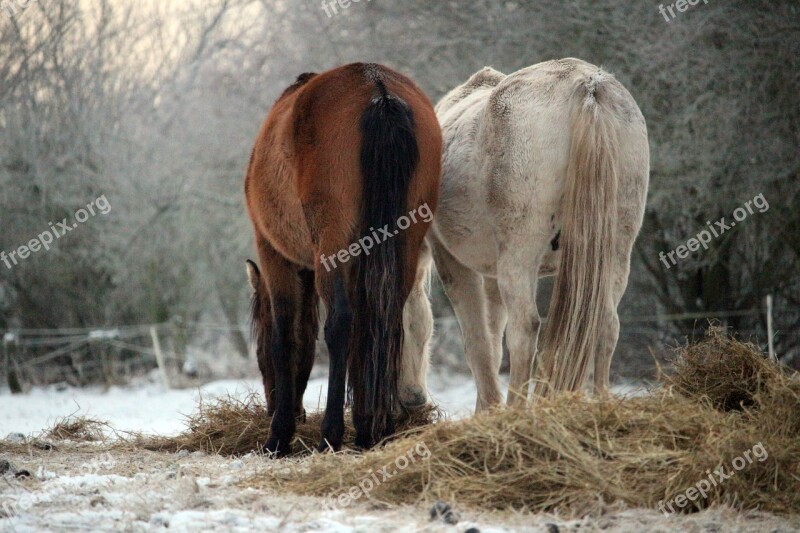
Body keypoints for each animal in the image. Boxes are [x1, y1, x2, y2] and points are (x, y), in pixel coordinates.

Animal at [245, 62, 444, 454]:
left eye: (258, 356)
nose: (272, 407)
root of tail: (378, 88)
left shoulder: (275, 254)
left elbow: (285, 333)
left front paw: (280, 434)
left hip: (333, 246)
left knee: (341, 323)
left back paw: (331, 433)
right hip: (404, 241)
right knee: (384, 321)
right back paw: (374, 429)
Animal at [404, 57, 648, 408]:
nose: (412, 398)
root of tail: (587, 84)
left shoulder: (451, 261)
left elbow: (478, 344)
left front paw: (490, 409)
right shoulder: (491, 275)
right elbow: (492, 341)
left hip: (520, 258)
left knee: (525, 330)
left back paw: (517, 409)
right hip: (615, 254)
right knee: (606, 323)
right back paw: (601, 401)